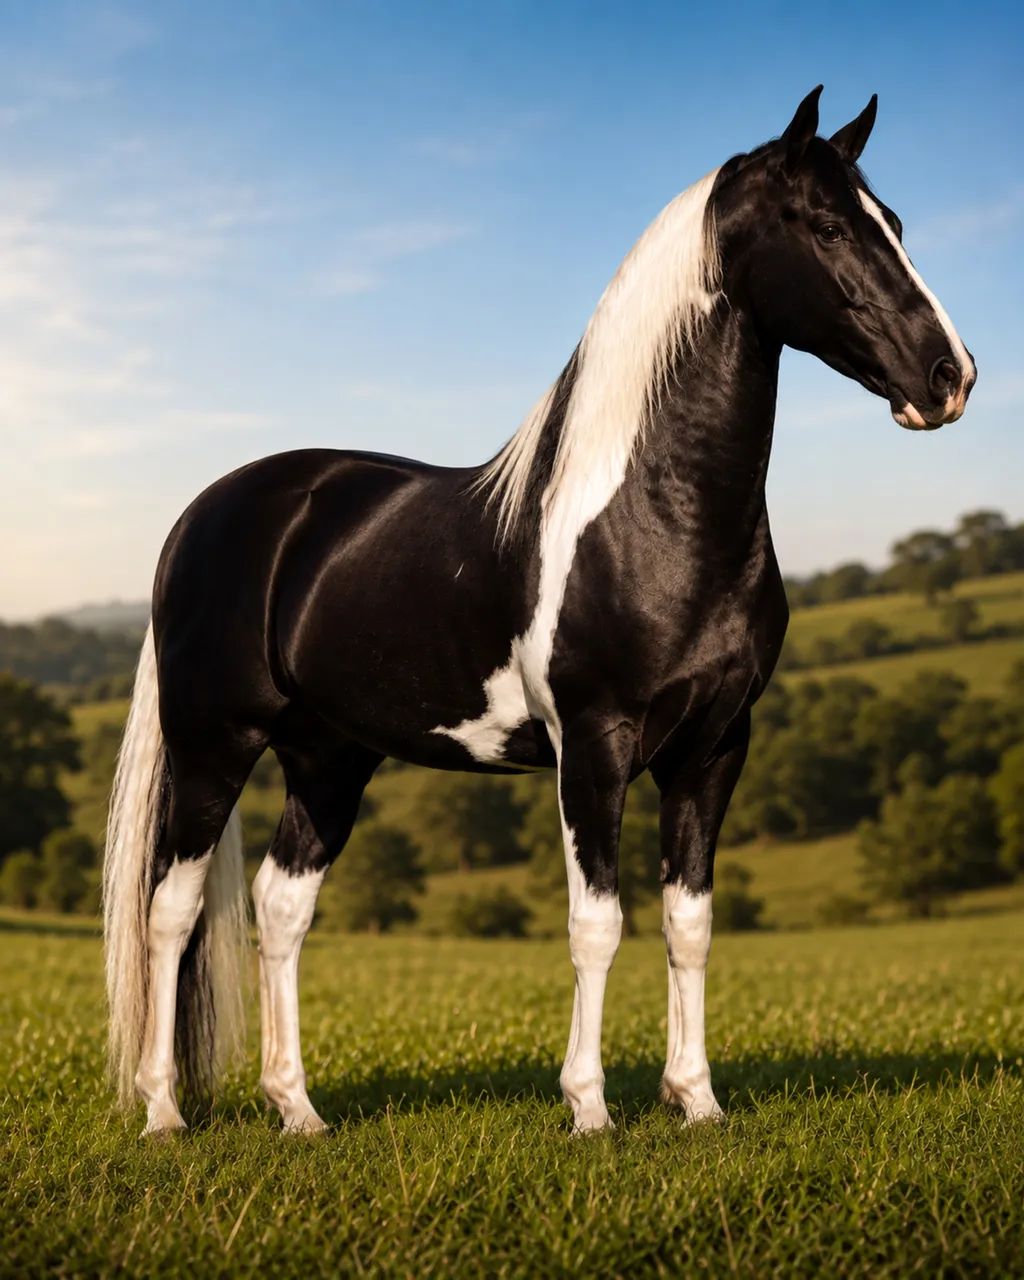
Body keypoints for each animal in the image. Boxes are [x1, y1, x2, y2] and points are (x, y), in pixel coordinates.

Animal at [103, 86, 975, 1137]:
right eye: (827, 225)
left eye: (897, 224)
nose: (950, 376)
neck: (649, 513)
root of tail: (208, 514)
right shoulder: (593, 745)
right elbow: (597, 923)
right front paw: (590, 1108)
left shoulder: (716, 747)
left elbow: (690, 923)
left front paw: (698, 1102)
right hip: (213, 744)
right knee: (172, 909)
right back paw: (162, 1112)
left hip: (329, 757)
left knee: (280, 907)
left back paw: (298, 1110)